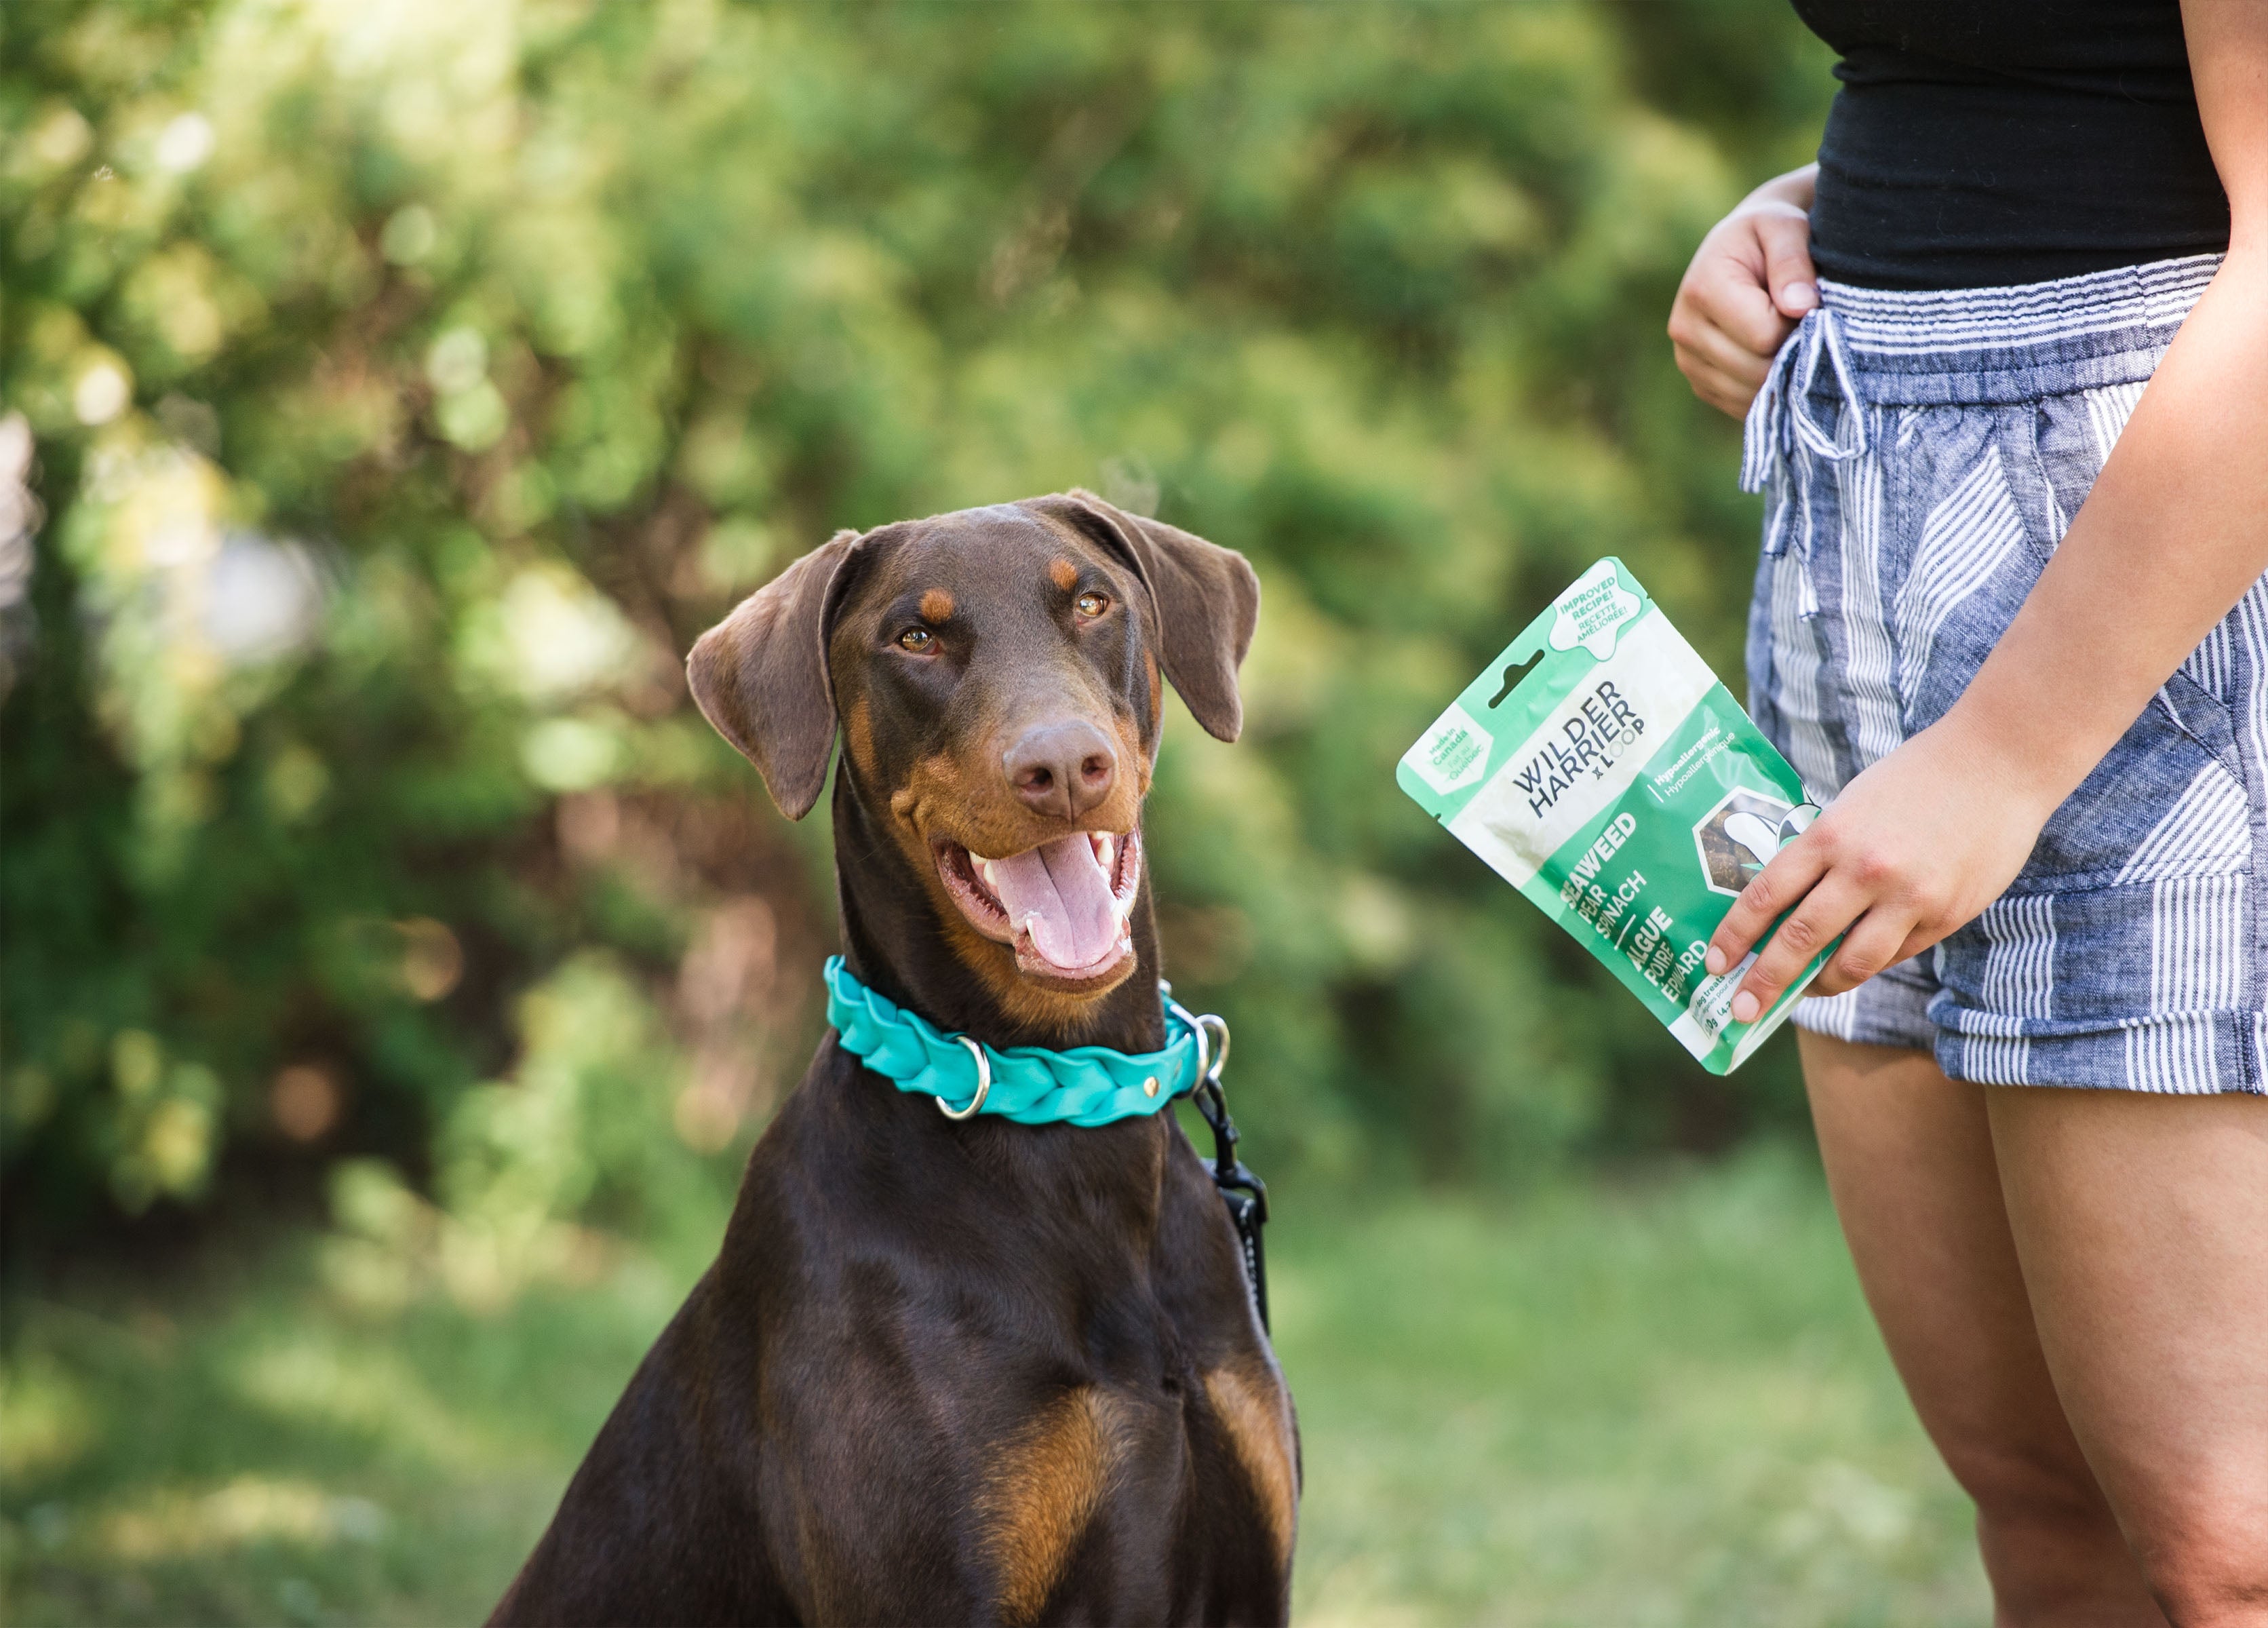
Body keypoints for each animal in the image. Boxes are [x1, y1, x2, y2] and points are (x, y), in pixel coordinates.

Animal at [492, 492, 1297, 1623]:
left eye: (1093, 602)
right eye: (916, 638)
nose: (1063, 767)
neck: (1064, 1109)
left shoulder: (1251, 1579)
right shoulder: (932, 1589)